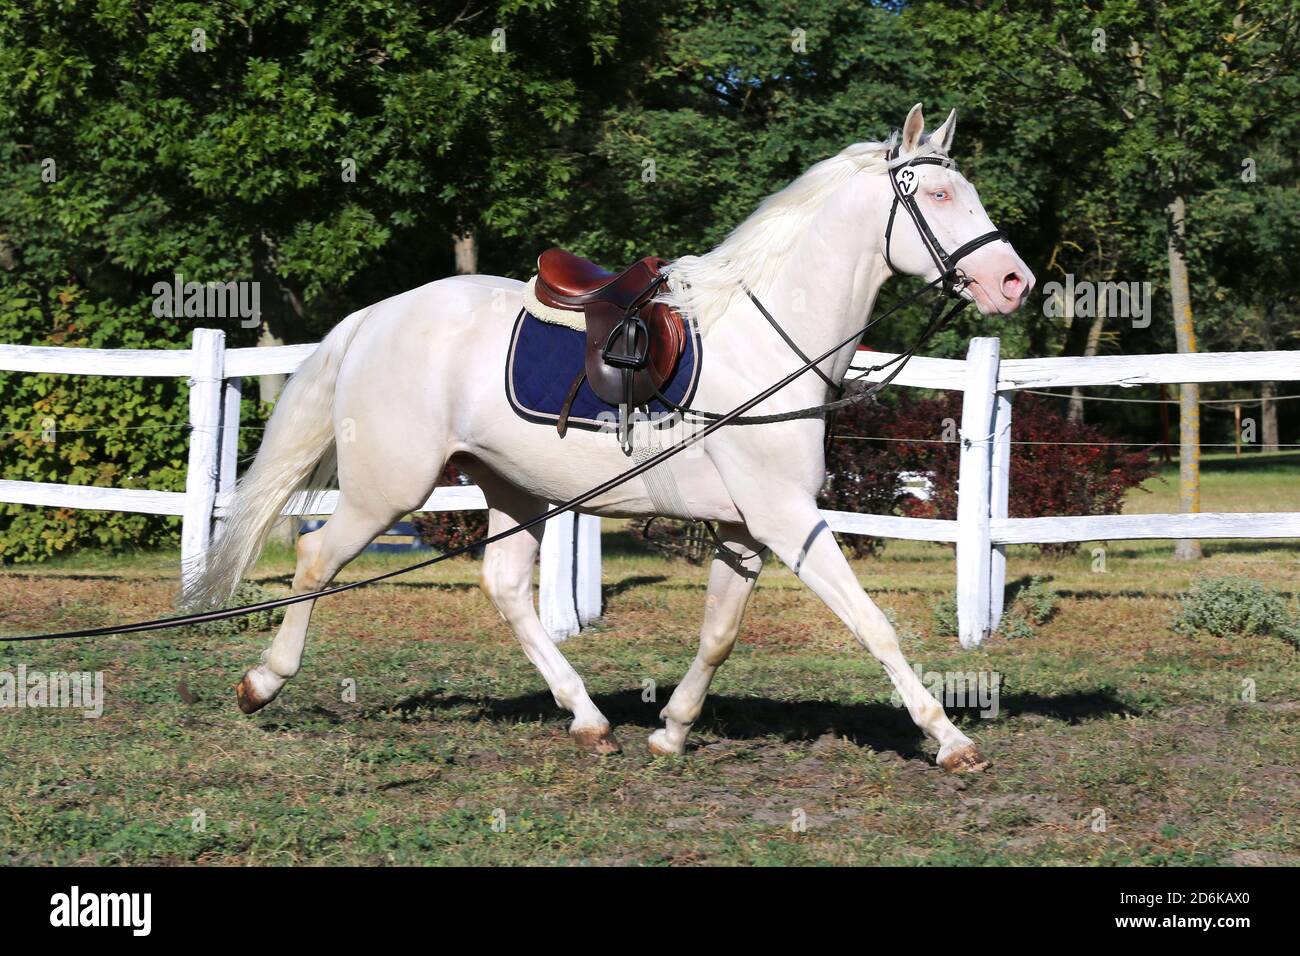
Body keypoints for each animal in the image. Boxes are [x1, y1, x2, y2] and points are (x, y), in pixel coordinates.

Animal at [188, 104, 1034, 772]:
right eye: (938, 194)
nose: (1014, 283)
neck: (768, 340)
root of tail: (375, 316)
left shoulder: (744, 528)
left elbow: (719, 635)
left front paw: (671, 731)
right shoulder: (786, 518)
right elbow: (874, 625)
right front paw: (950, 740)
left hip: (514, 488)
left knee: (505, 589)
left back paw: (590, 720)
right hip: (386, 489)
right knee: (314, 561)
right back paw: (262, 683)